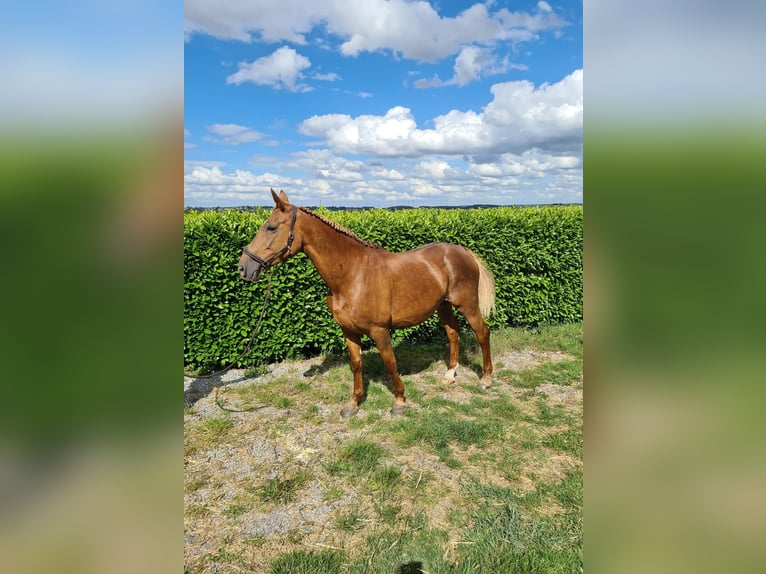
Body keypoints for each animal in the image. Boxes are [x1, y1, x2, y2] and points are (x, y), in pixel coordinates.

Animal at [237, 190, 496, 418]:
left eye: (271, 227)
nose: (243, 268)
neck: (353, 274)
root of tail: (463, 252)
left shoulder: (379, 330)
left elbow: (390, 363)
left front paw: (400, 402)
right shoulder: (349, 331)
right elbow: (356, 364)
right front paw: (353, 404)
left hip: (467, 304)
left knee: (482, 332)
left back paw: (485, 379)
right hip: (443, 306)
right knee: (453, 333)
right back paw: (450, 375)